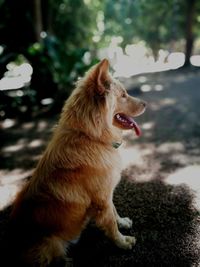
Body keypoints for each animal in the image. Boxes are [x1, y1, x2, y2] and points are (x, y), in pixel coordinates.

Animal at [7, 59, 145, 266]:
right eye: (123, 95)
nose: (146, 104)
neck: (90, 137)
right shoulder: (101, 199)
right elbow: (110, 224)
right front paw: (122, 242)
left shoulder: (106, 193)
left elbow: (114, 211)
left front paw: (122, 222)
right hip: (48, 245)